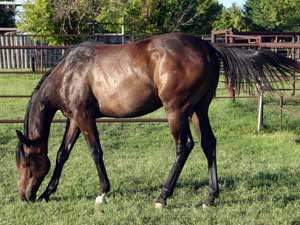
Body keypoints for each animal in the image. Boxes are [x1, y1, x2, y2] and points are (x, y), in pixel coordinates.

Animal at [15, 33, 298, 207]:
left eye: (26, 163)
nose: (25, 196)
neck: (69, 72)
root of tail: (207, 46)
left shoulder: (84, 117)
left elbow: (95, 152)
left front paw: (103, 192)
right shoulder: (74, 119)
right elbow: (62, 154)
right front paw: (48, 193)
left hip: (177, 111)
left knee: (184, 147)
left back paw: (163, 196)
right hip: (199, 110)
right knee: (209, 144)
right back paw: (210, 198)